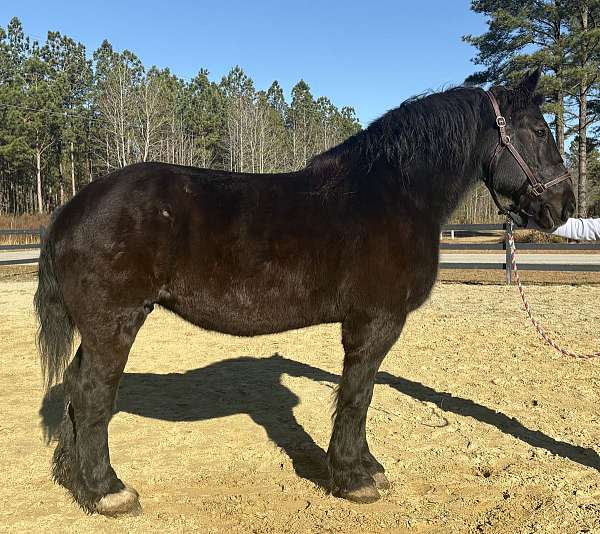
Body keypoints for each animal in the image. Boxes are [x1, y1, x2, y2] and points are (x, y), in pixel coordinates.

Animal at [32, 69, 576, 516]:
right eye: (541, 131)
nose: (564, 206)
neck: (394, 195)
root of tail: (71, 209)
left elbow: (360, 395)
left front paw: (366, 466)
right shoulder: (374, 321)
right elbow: (358, 393)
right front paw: (353, 478)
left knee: (77, 390)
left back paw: (78, 481)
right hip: (115, 323)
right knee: (93, 393)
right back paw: (109, 491)